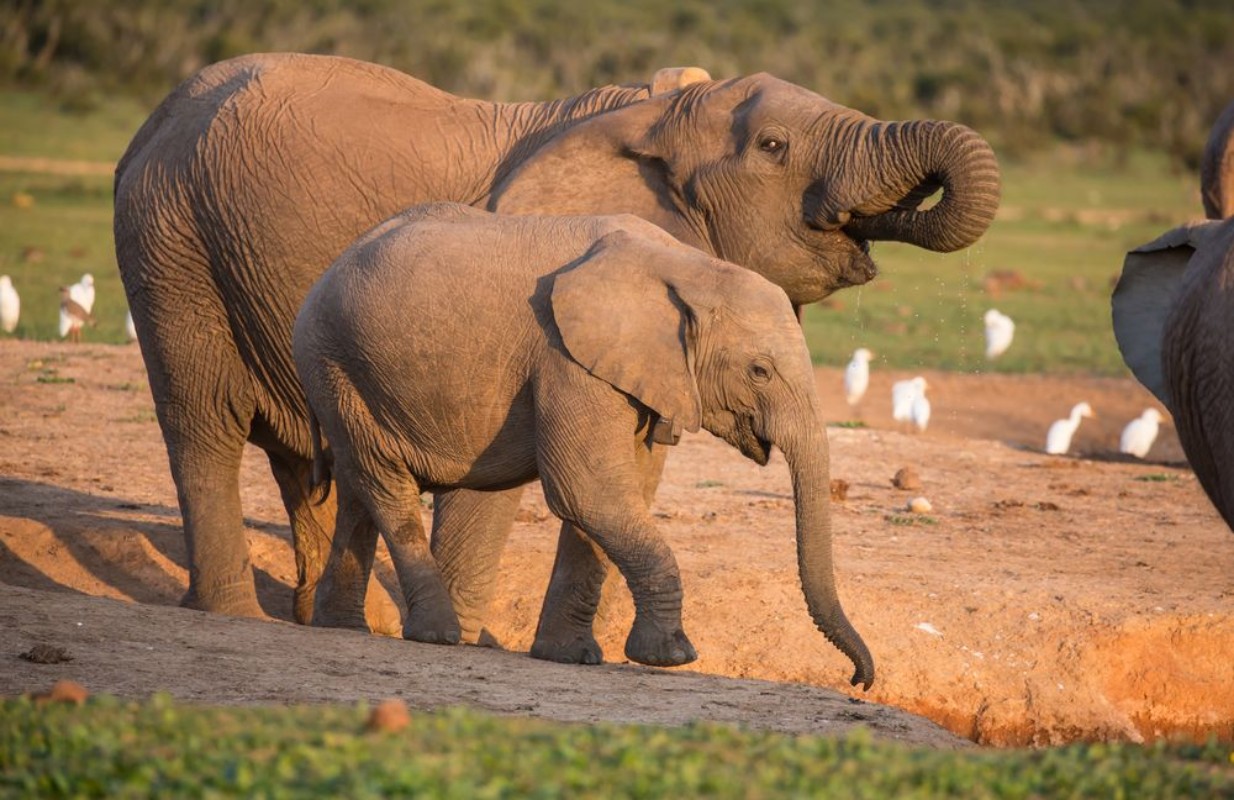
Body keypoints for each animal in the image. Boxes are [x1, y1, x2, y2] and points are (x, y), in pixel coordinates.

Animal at [292, 203, 874, 688]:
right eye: (759, 371)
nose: (859, 680)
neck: (688, 266)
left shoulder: (635, 371)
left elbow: (614, 497)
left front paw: (571, 657)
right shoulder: (567, 359)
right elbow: (587, 490)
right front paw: (673, 657)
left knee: (363, 488)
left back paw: (345, 627)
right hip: (331, 359)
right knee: (384, 483)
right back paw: (437, 634)